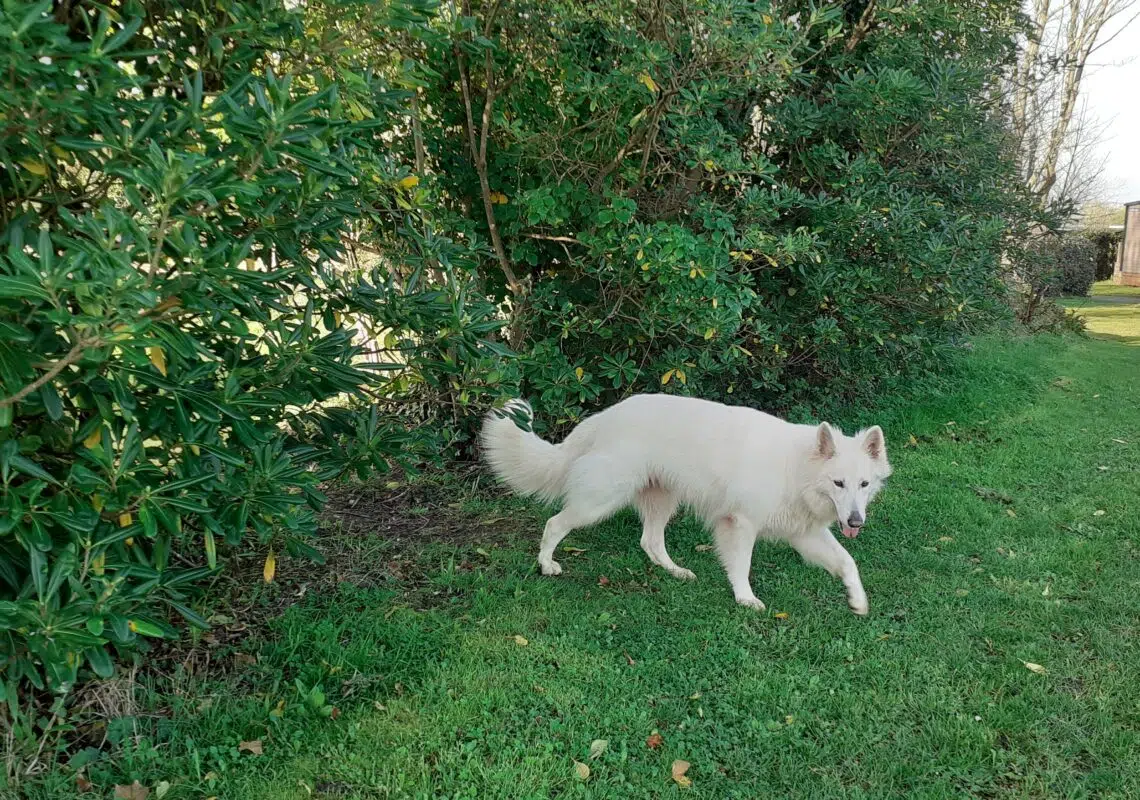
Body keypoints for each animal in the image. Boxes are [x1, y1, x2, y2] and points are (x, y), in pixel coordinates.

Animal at [480, 394, 891, 615]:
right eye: (838, 483)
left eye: (864, 484)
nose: (857, 521)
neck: (797, 467)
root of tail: (605, 416)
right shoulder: (740, 524)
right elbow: (741, 565)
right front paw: (745, 598)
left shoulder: (806, 535)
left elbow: (847, 562)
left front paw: (858, 601)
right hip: (601, 500)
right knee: (555, 523)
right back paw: (546, 565)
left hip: (663, 500)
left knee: (649, 541)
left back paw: (675, 571)